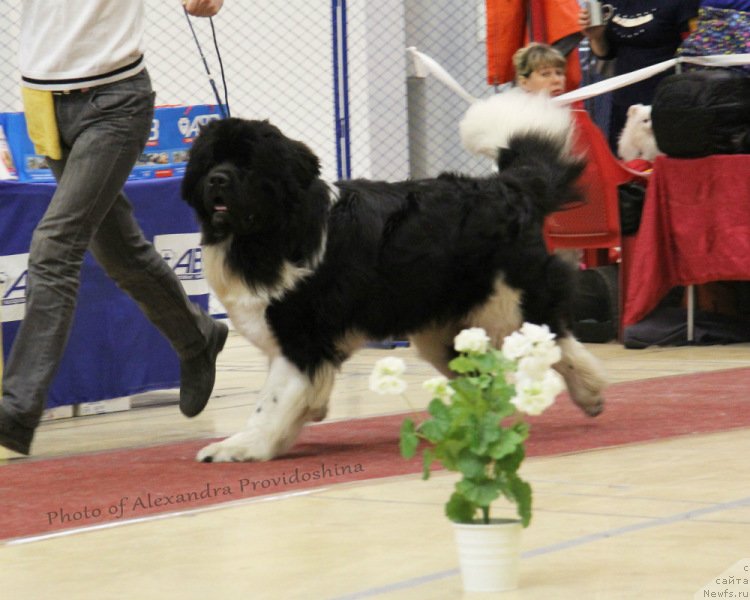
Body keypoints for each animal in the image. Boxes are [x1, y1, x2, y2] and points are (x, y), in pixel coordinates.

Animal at [184, 90, 612, 464]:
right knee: (483, 373)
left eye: (249, 165)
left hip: (507, 304)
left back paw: (591, 391)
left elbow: (271, 402)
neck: (270, 233)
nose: (218, 179)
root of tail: (506, 185)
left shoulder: (301, 337)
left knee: (555, 341)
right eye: (209, 162)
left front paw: (242, 446)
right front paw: (300, 418)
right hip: (443, 328)